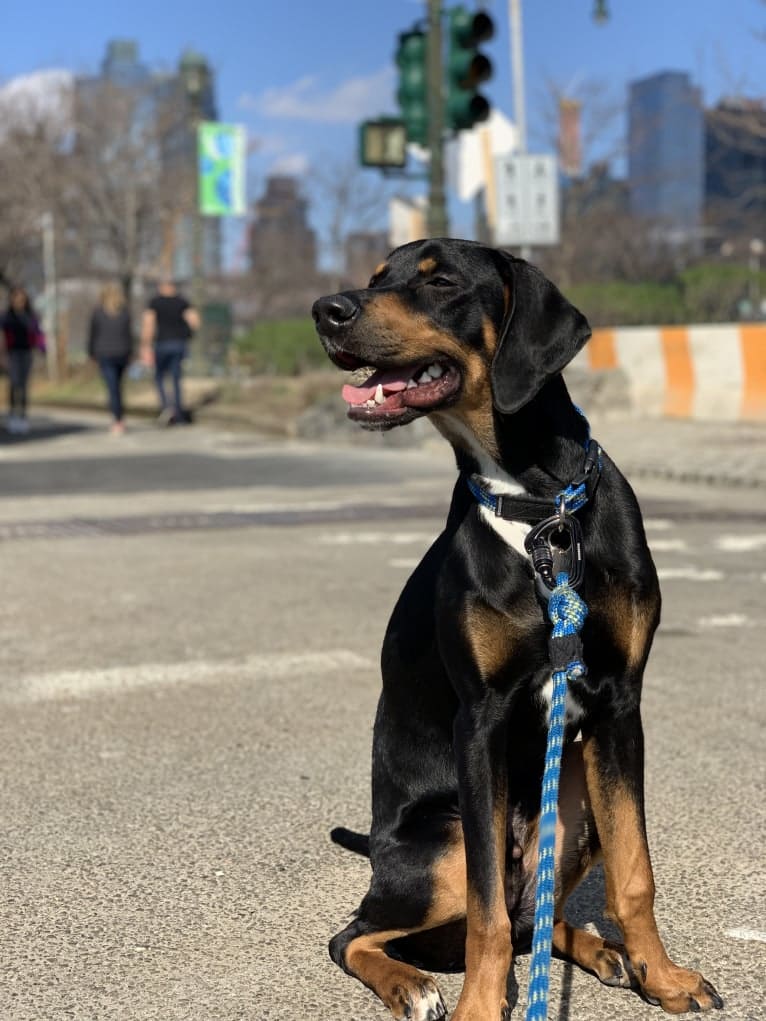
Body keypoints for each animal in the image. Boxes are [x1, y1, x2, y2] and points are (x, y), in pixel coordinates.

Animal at [312, 238, 727, 1021]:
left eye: (440, 279)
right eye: (377, 277)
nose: (326, 309)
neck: (539, 511)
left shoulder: (620, 705)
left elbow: (636, 871)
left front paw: (662, 976)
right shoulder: (482, 718)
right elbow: (485, 917)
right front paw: (479, 1004)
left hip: (575, 809)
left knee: (534, 913)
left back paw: (602, 950)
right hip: (443, 842)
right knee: (359, 932)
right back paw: (411, 984)